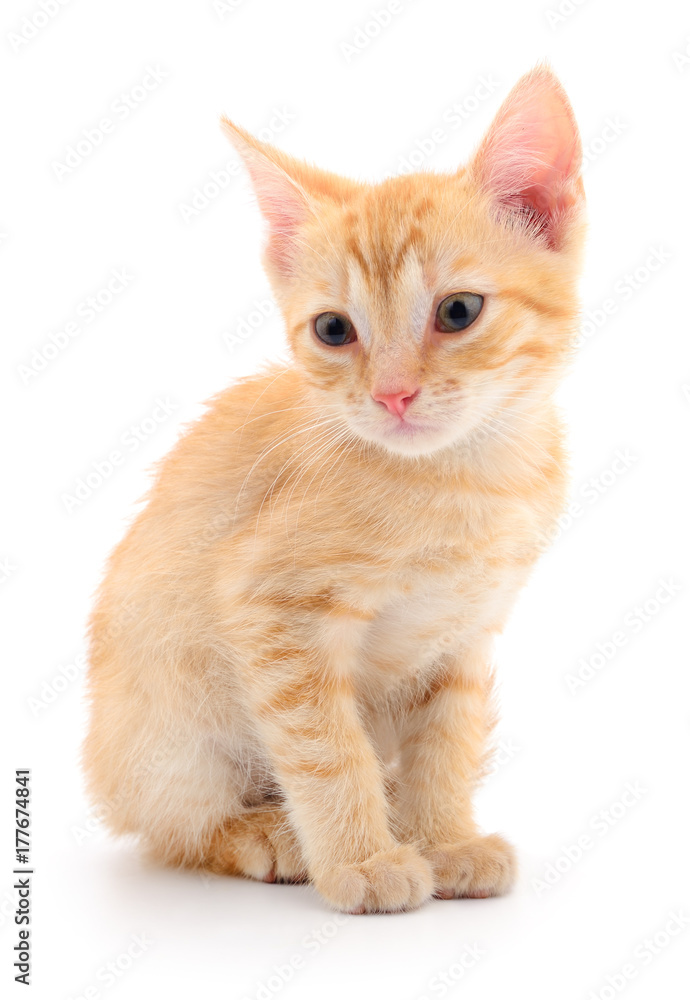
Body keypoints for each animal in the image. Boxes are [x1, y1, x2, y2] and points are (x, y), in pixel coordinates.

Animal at [83, 64, 584, 916]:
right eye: (333, 331)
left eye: (458, 311)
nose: (392, 395)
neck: (466, 478)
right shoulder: (271, 611)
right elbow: (325, 746)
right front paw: (362, 858)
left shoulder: (467, 631)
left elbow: (446, 738)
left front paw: (444, 837)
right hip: (167, 723)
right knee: (173, 827)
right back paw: (268, 832)